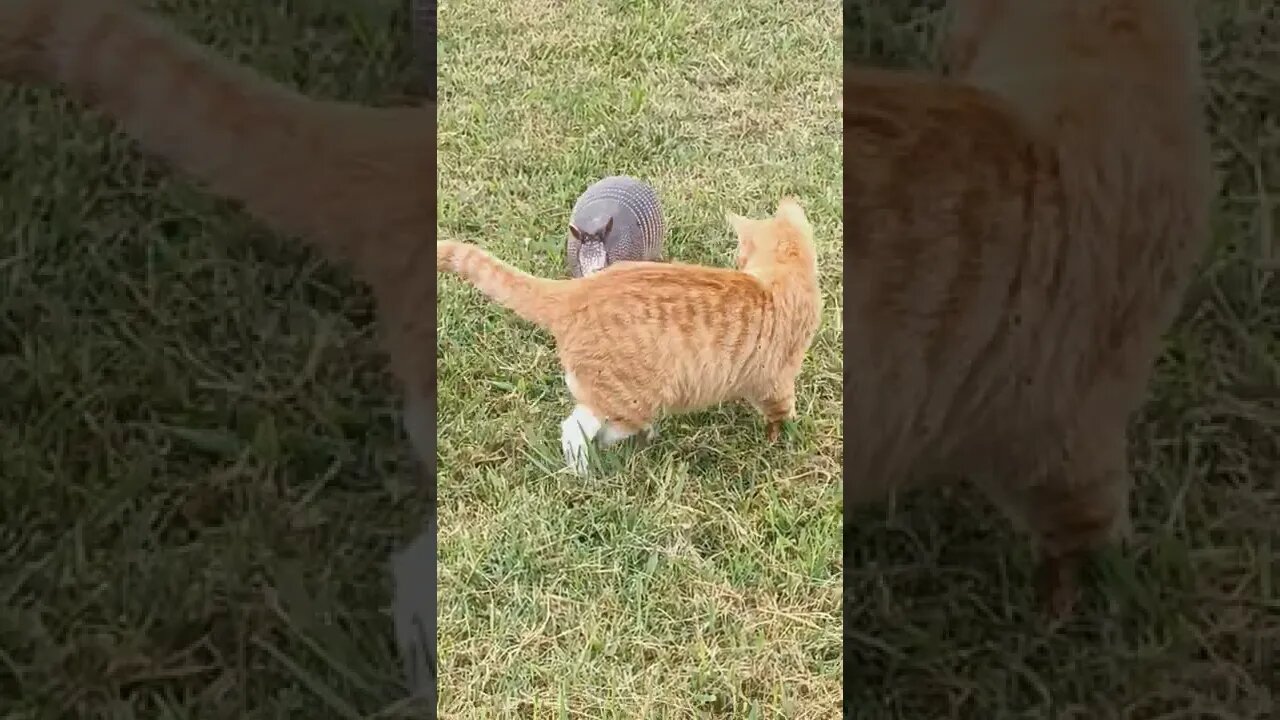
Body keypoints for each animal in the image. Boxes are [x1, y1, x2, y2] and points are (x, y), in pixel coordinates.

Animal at [437, 198, 819, 474]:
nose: (738, 261)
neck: (782, 273)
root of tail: (578, 290)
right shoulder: (777, 378)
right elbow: (782, 410)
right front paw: (783, 437)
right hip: (631, 397)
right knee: (579, 429)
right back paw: (590, 469)